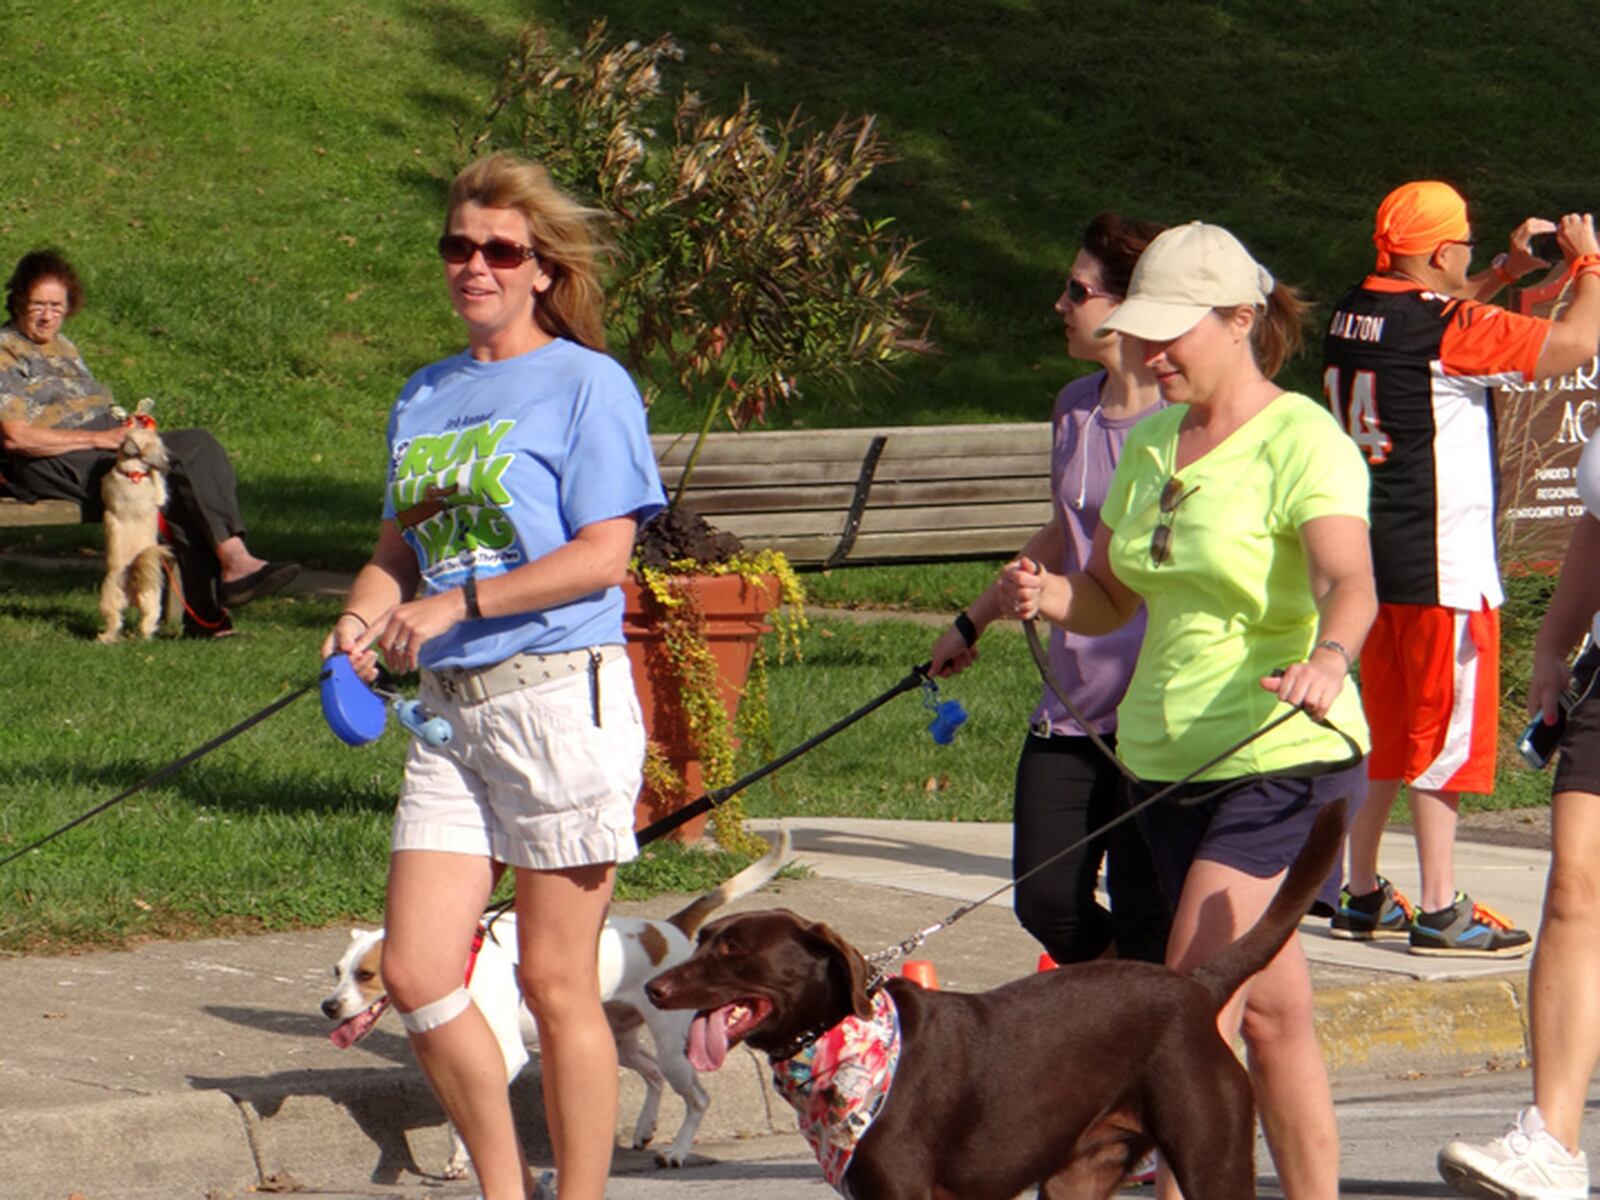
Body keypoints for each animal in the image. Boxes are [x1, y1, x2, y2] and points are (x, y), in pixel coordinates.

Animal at [97, 428, 182, 643]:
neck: (132, 474)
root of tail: (132, 580)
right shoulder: (158, 494)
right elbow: (159, 485)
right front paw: (156, 471)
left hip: (128, 601)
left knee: (128, 622)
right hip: (134, 598)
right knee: (135, 622)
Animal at [316, 832, 787, 1177]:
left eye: (366, 975)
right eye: (337, 971)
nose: (329, 1007)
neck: (465, 972)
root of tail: (668, 928)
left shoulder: (505, 1056)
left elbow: (468, 1118)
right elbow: (457, 1119)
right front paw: (458, 1159)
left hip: (674, 1048)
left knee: (698, 1098)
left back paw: (676, 1151)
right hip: (618, 1041)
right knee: (652, 1075)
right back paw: (644, 1129)